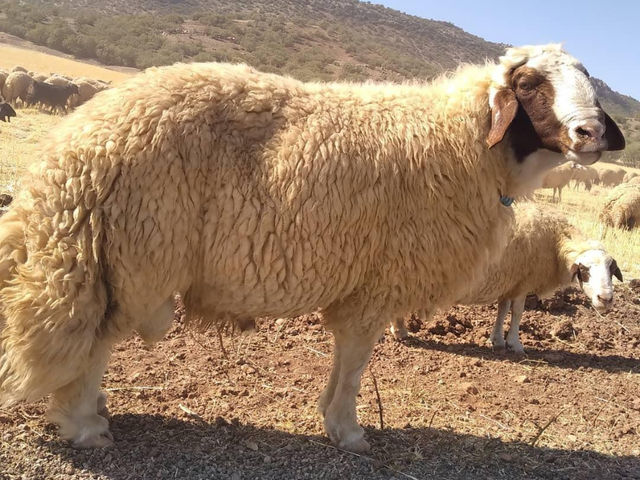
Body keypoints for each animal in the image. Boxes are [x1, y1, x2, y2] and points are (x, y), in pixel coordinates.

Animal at [391, 204, 622, 353]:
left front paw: (497, 340)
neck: (555, 240)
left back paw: (399, 331)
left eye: (611, 270)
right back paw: (400, 332)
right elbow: (517, 313)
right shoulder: (523, 283)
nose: (605, 299)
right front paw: (515, 344)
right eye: (584, 270)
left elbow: (502, 310)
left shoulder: (510, 282)